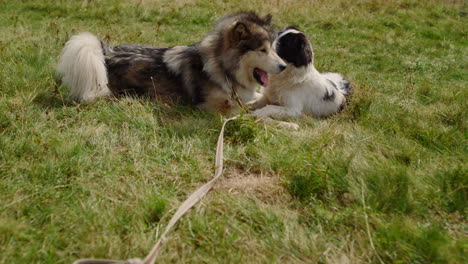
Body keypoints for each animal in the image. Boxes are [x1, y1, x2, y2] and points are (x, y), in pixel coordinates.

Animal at [55, 11, 286, 113]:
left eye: (274, 49)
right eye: (262, 50)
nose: (284, 67)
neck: (223, 68)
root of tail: (106, 53)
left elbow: (261, 98)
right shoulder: (218, 108)